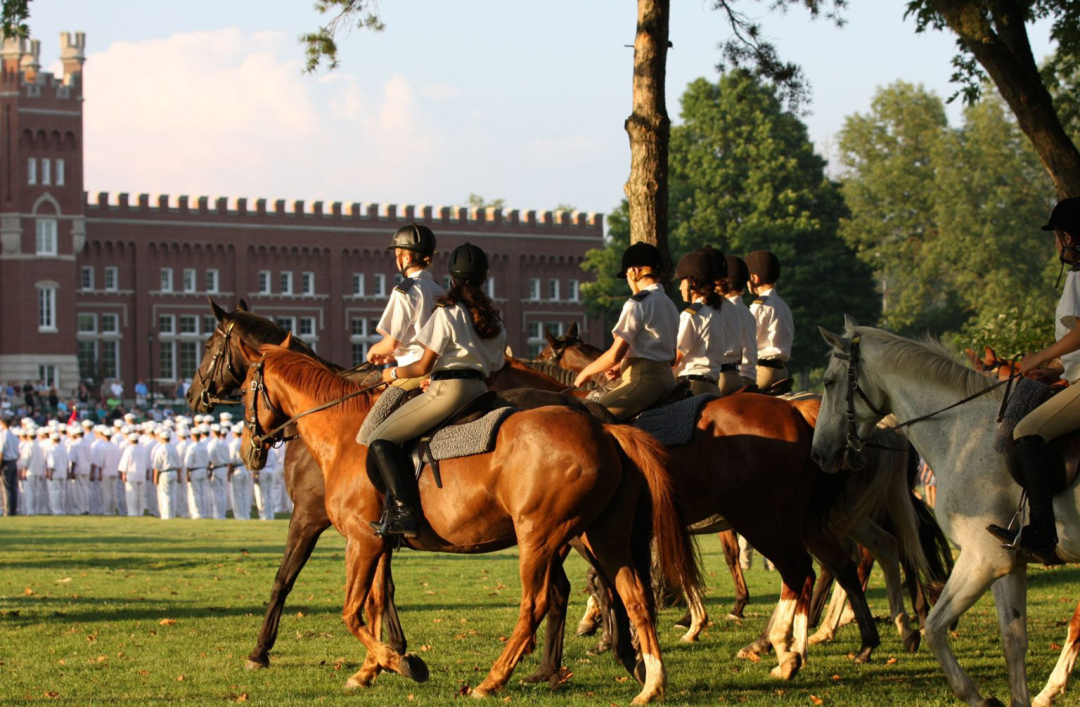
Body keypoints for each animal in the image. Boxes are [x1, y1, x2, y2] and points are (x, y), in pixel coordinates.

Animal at [240, 338, 704, 703]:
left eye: (246, 387)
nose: (250, 450)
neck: (346, 433)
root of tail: (604, 429)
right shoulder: (376, 543)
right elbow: (374, 603)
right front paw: (371, 669)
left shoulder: (360, 541)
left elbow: (351, 612)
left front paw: (401, 663)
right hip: (601, 537)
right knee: (634, 596)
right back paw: (650, 682)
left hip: (541, 538)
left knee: (537, 603)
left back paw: (494, 679)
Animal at [812, 319, 1080, 707]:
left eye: (829, 382)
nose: (819, 453)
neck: (963, 433)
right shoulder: (1008, 562)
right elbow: (1013, 640)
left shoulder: (983, 559)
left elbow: (935, 628)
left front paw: (979, 698)